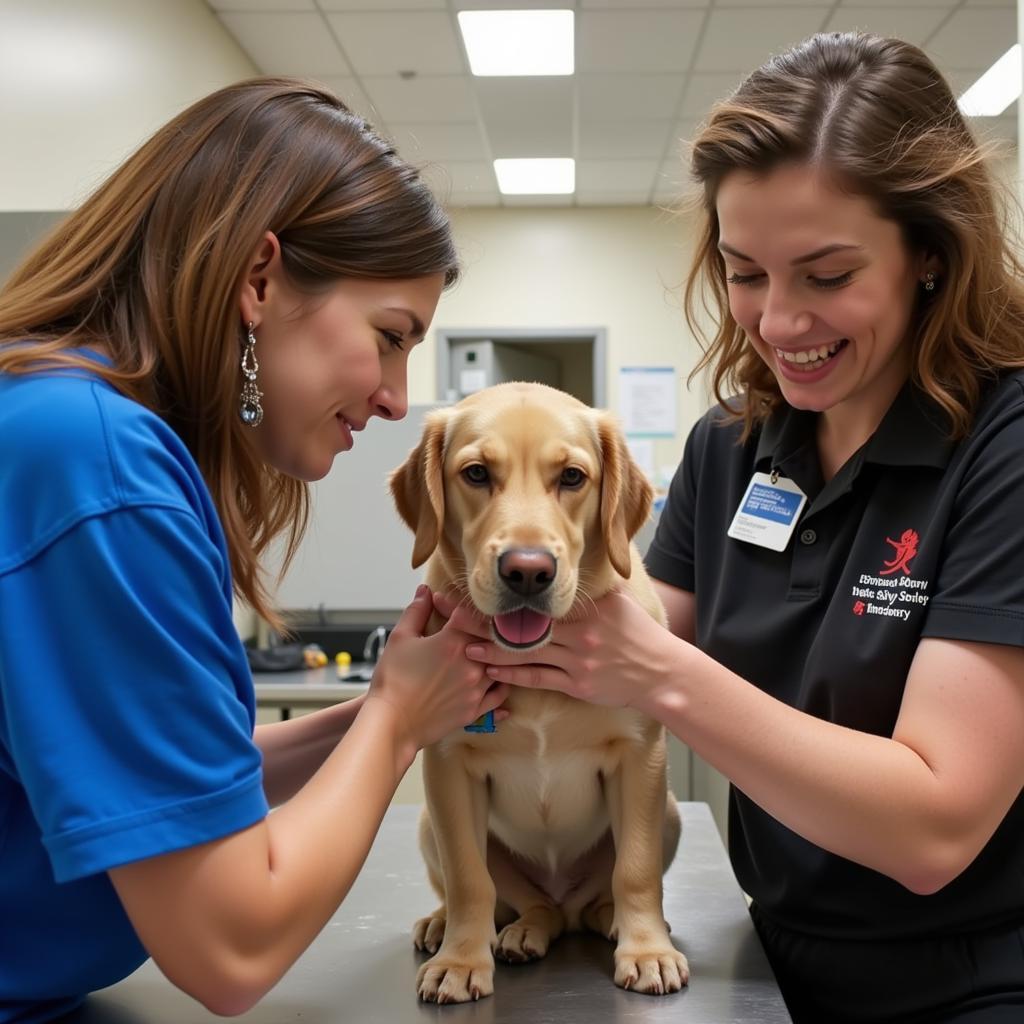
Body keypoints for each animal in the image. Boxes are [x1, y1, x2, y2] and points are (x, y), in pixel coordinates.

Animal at [389, 382, 688, 999]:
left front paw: (647, 949)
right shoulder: (448, 765)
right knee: (514, 902)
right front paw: (461, 960)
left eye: (572, 477)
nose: (527, 571)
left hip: (669, 812)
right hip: (431, 825)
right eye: (476, 473)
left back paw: (608, 920)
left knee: (599, 895)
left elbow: (637, 869)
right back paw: (482, 928)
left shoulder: (641, 756)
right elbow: (468, 878)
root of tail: (563, 905)